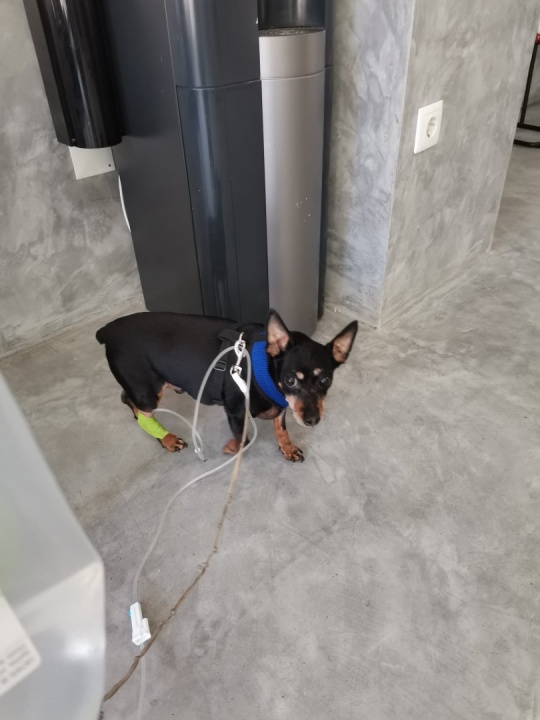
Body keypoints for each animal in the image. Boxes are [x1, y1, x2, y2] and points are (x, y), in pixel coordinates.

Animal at [96, 309, 357, 462]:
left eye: (326, 380)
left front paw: (288, 448)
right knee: (140, 410)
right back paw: (167, 438)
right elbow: (244, 439)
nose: (312, 420)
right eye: (290, 379)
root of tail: (107, 331)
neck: (266, 372)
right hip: (148, 391)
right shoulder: (235, 411)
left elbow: (281, 429)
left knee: (126, 398)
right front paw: (233, 448)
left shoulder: (283, 406)